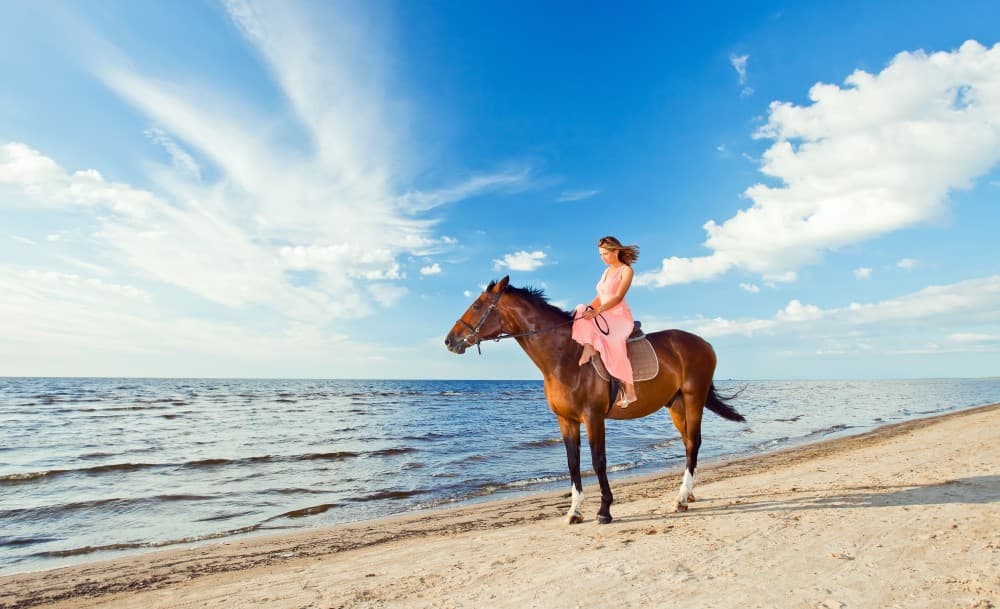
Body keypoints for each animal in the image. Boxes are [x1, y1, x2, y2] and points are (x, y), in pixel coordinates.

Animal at [444, 276, 745, 525]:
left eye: (477, 306)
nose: (449, 341)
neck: (566, 357)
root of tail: (705, 343)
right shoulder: (566, 420)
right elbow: (573, 462)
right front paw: (574, 511)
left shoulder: (593, 417)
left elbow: (598, 461)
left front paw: (604, 510)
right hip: (676, 404)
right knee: (687, 444)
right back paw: (688, 495)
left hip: (694, 398)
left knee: (693, 442)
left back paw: (681, 498)